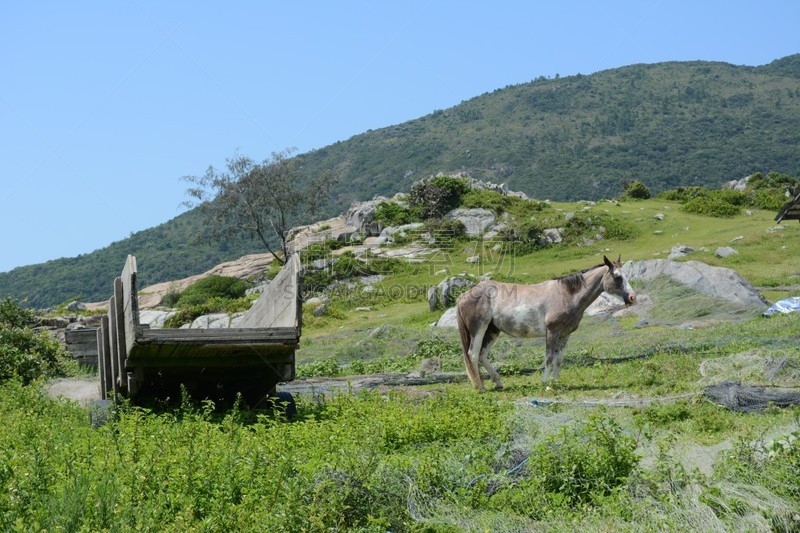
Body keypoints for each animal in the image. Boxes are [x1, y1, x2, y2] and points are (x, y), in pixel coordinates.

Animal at [456, 256, 636, 388]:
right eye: (617, 277)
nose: (633, 298)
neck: (566, 294)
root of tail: (464, 295)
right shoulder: (552, 332)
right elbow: (549, 358)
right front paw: (546, 384)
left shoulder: (564, 335)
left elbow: (558, 359)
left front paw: (556, 382)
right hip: (479, 330)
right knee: (473, 355)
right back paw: (480, 388)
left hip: (492, 331)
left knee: (482, 355)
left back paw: (498, 383)